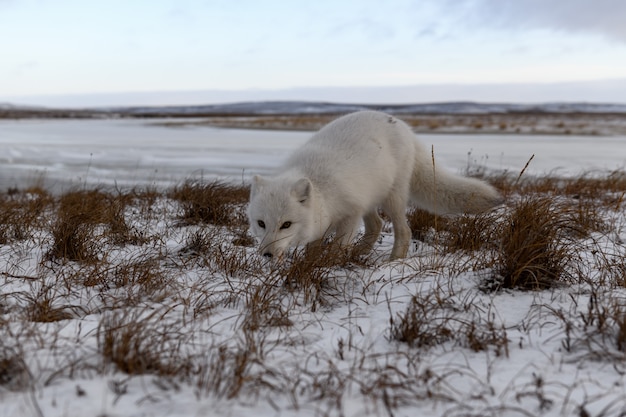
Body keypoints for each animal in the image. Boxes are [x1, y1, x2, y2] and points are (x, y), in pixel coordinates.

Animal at [245, 110, 502, 260]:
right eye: (261, 223)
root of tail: (405, 127)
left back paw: (393, 262)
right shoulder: (326, 221)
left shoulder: (350, 214)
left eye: (286, 224)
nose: (267, 254)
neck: (321, 188)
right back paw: (360, 253)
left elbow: (336, 247)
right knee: (377, 225)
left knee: (404, 231)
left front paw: (326, 265)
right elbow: (314, 248)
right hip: (371, 198)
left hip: (392, 198)